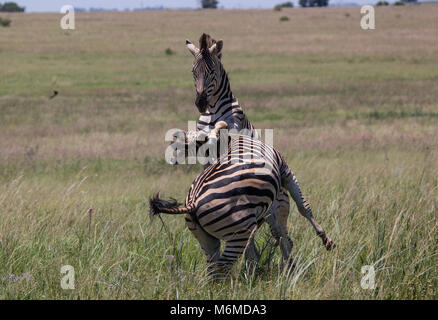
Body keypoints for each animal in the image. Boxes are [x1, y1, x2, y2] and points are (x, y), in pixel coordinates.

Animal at [151, 121, 336, 276]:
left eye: (188, 143)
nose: (172, 157)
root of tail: (192, 203)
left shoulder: (266, 200)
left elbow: (277, 230)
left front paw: (289, 264)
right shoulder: (285, 170)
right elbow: (303, 207)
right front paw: (326, 240)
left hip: (205, 237)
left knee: (213, 267)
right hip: (238, 231)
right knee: (222, 268)